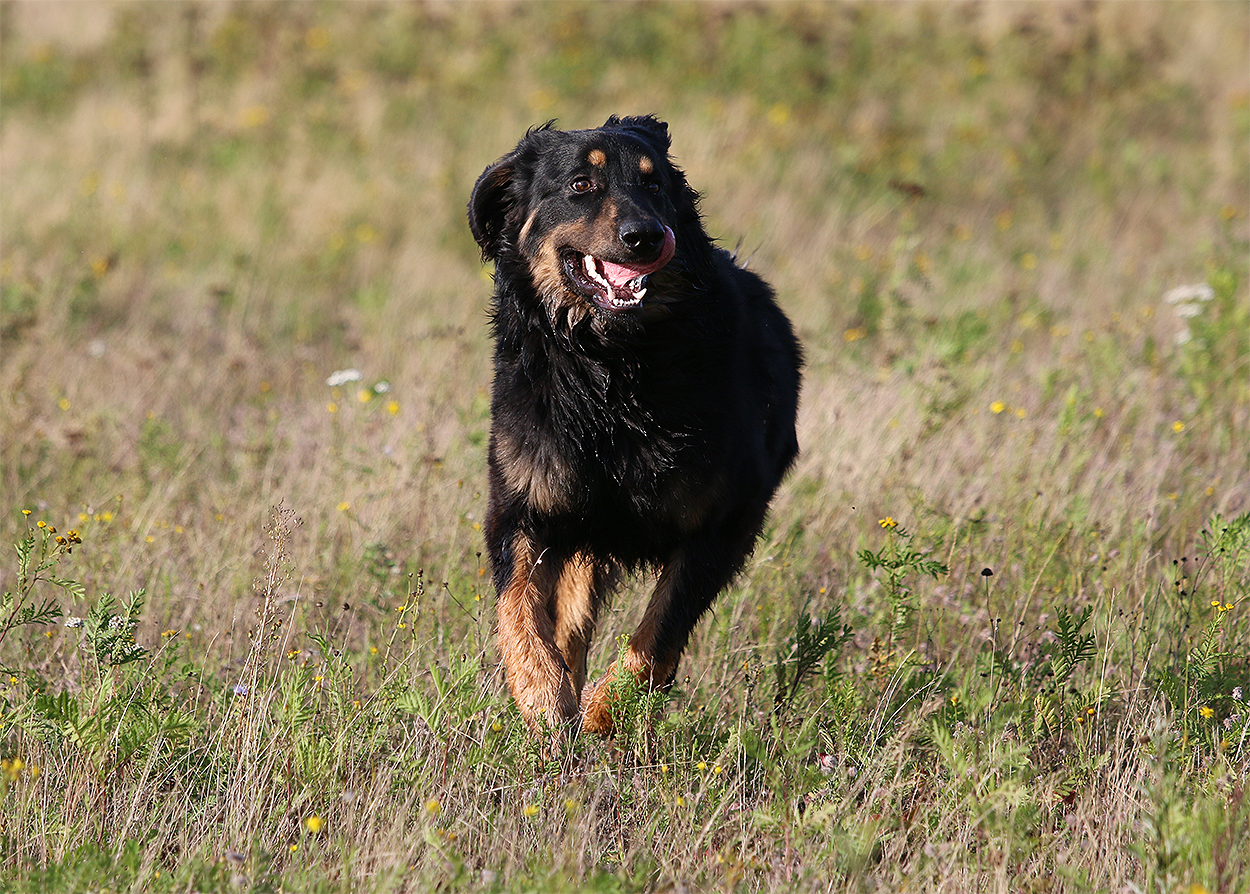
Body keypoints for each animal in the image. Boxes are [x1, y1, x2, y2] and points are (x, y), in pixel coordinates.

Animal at [468, 115, 801, 738]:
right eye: (580, 185)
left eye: (654, 185)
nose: (644, 236)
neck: (613, 366)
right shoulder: (525, 507)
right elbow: (518, 610)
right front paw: (542, 695)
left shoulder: (723, 525)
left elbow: (658, 634)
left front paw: (606, 709)